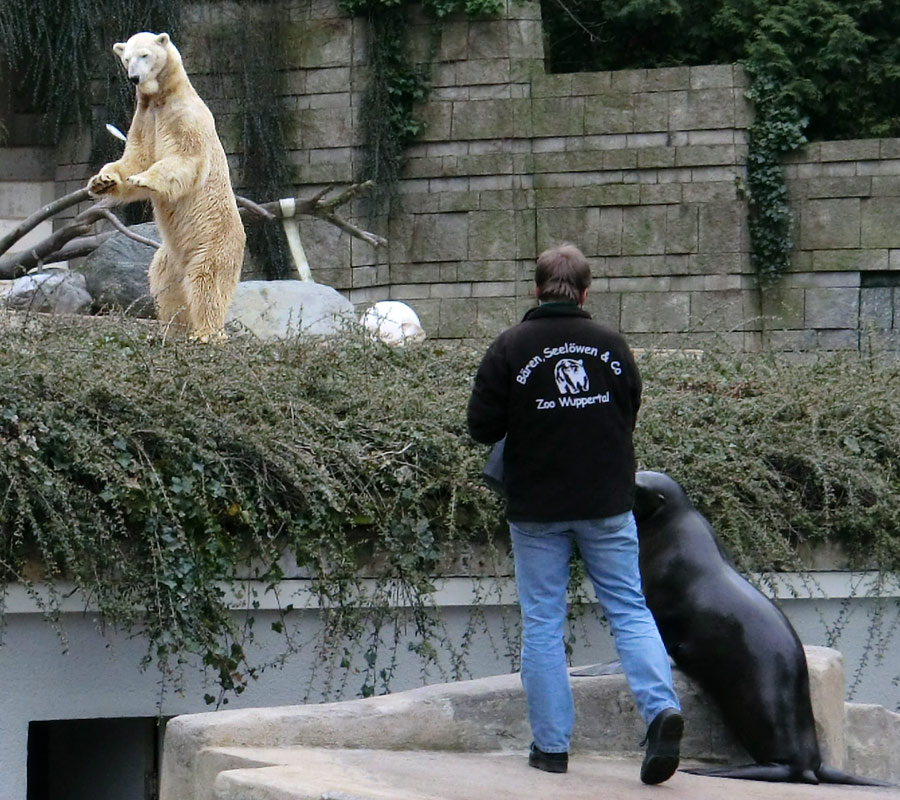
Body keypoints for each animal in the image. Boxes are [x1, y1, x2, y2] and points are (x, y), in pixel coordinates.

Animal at [88, 32, 246, 340]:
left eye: (145, 55)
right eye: (127, 58)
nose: (134, 78)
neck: (162, 96)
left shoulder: (183, 115)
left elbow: (186, 157)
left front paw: (144, 179)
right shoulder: (144, 117)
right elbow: (135, 157)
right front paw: (102, 181)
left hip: (213, 240)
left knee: (208, 280)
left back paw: (206, 333)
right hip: (169, 254)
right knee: (166, 283)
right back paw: (173, 329)